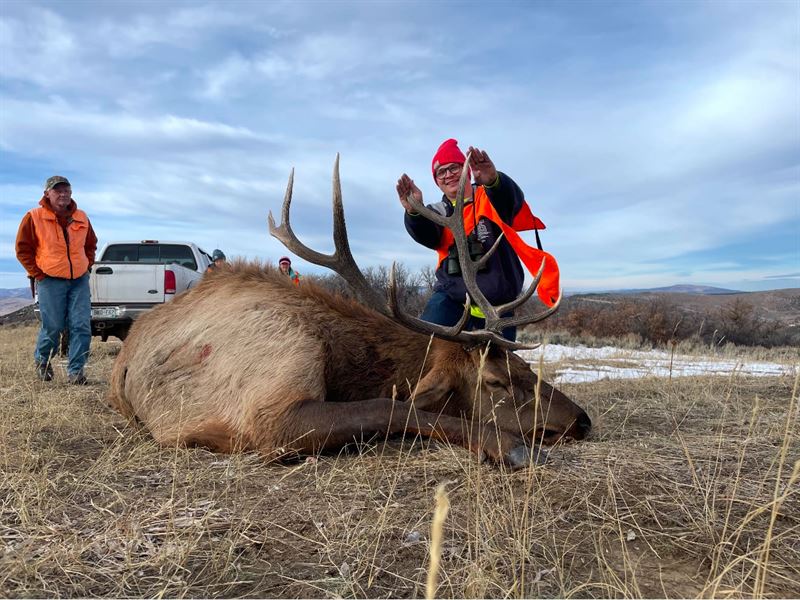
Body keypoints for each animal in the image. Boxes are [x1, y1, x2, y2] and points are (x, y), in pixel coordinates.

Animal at [108, 155, 588, 468]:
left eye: (524, 365)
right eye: (495, 381)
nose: (582, 421)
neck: (343, 360)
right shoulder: (267, 414)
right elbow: (392, 407)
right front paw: (509, 445)